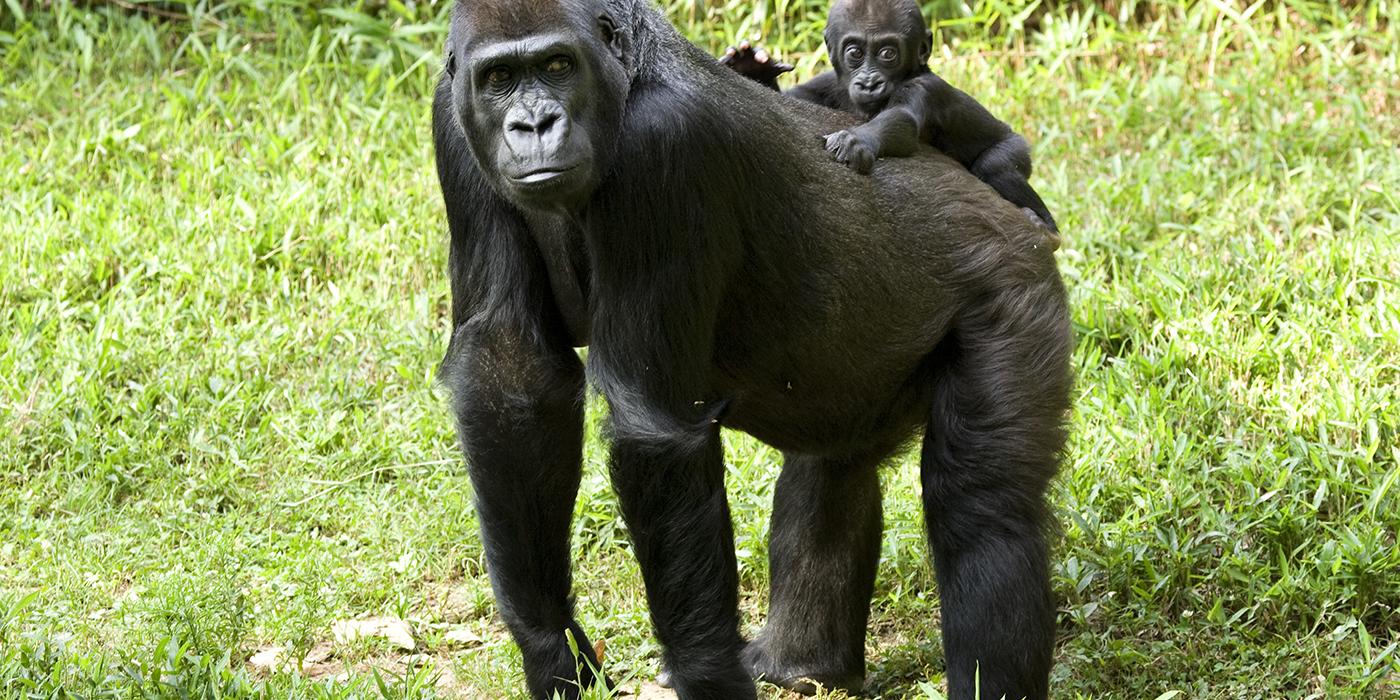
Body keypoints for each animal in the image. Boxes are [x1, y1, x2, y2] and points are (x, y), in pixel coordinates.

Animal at [728, 0, 1052, 235]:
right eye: (855, 53)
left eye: (887, 54)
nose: (870, 82)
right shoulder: (826, 84)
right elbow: (788, 101)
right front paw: (751, 67)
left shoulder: (924, 87)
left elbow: (902, 120)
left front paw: (856, 140)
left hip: (1016, 146)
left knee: (996, 165)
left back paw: (1046, 227)